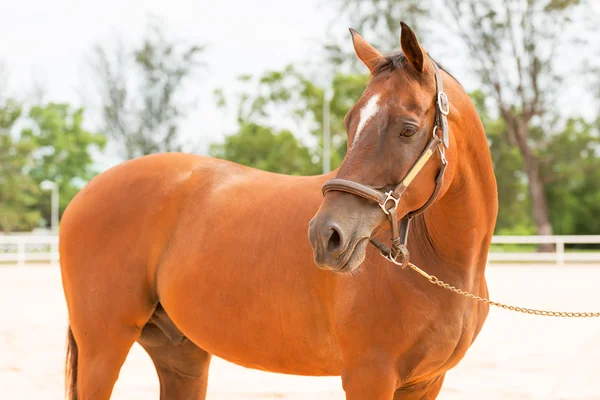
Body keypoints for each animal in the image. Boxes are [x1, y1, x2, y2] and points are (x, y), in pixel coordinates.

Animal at [59, 21, 496, 400]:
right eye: (349, 122)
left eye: (407, 128)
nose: (326, 236)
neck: (443, 266)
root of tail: (85, 193)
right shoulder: (369, 376)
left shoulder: (426, 381)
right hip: (104, 348)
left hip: (180, 354)